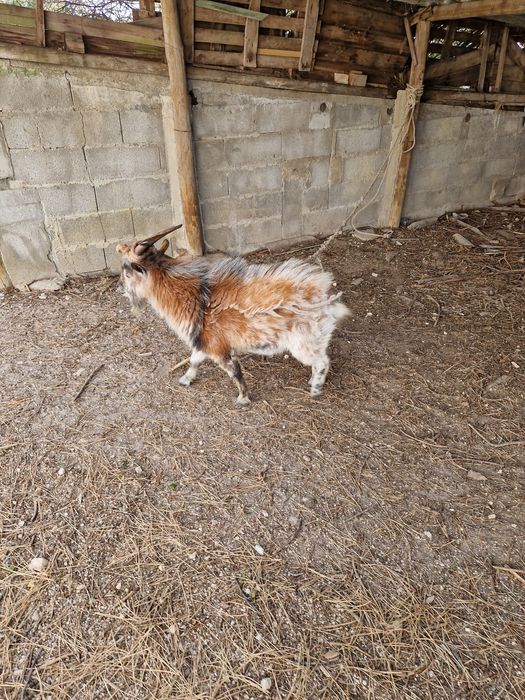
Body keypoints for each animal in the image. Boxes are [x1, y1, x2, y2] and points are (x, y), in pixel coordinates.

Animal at [116, 225, 349, 405]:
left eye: (127, 272)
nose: (119, 288)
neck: (196, 297)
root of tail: (325, 297)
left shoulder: (218, 348)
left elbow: (234, 371)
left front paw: (243, 398)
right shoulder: (204, 342)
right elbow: (194, 360)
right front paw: (185, 379)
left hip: (303, 342)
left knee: (323, 361)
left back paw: (315, 389)